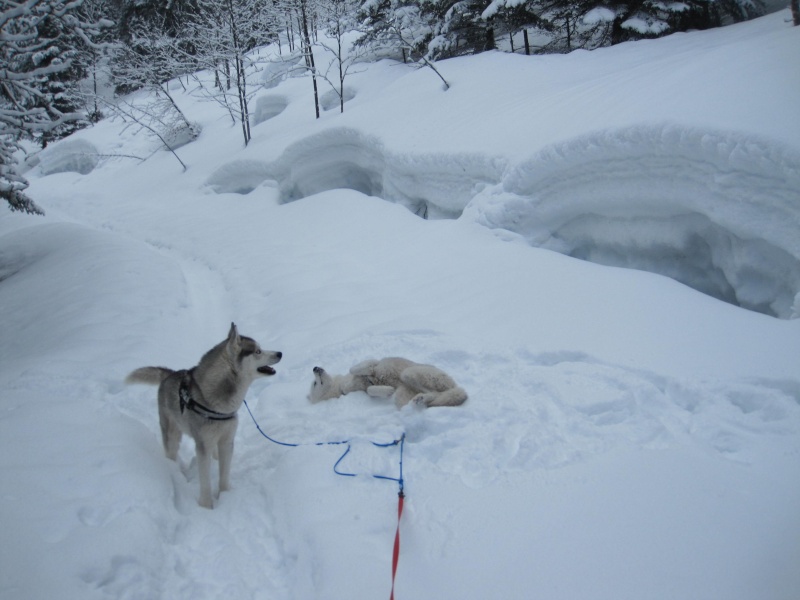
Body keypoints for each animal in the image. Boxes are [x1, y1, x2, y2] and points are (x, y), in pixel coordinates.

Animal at [308, 356, 468, 408]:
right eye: (314, 384)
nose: (314, 367)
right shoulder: (365, 389)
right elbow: (370, 390)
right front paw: (386, 390)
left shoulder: (371, 363)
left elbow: (354, 369)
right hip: (402, 397)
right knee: (433, 396)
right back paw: (421, 399)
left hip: (408, 373)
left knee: (435, 393)